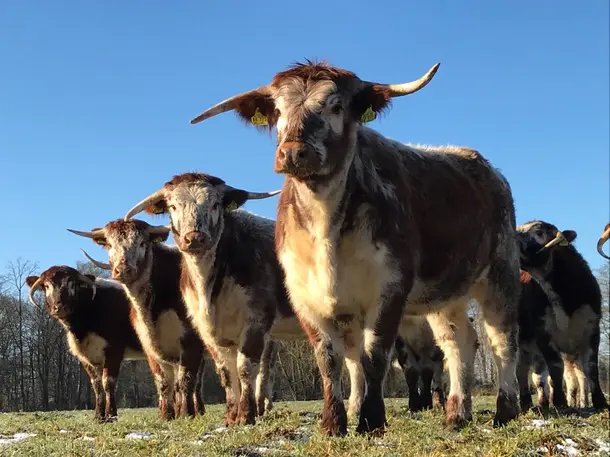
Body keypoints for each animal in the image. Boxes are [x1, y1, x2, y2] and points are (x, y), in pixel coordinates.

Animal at [24, 266, 147, 422]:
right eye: (46, 286)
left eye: (72, 284)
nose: (60, 307)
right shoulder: (86, 357)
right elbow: (96, 384)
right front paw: (98, 417)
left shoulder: (114, 349)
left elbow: (108, 382)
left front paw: (111, 416)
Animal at [65, 219, 205, 418]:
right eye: (109, 244)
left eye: (142, 243)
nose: (123, 270)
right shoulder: (151, 347)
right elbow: (164, 382)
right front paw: (167, 416)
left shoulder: (191, 342)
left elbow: (186, 380)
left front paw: (186, 415)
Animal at [120, 173, 366, 426]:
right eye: (173, 206)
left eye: (215, 204)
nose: (195, 238)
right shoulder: (210, 332)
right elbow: (227, 374)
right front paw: (231, 416)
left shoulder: (256, 321)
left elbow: (245, 368)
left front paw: (246, 415)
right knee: (354, 360)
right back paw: (355, 409)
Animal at [189, 58, 516, 432]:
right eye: (278, 109)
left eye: (336, 106)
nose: (293, 153)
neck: (325, 227)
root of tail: (485, 167)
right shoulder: (306, 298)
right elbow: (329, 359)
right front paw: (332, 422)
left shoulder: (389, 291)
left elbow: (373, 357)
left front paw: (371, 419)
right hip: (446, 293)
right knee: (458, 342)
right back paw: (456, 414)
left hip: (500, 274)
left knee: (502, 341)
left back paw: (506, 410)